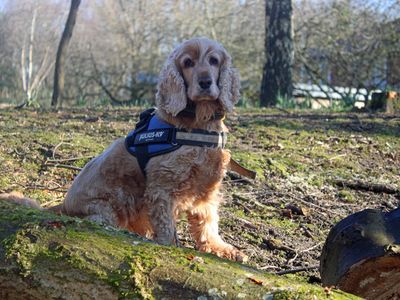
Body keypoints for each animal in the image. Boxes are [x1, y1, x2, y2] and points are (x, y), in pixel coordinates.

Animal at [1, 37, 247, 262]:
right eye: (188, 62)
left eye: (214, 60)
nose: (205, 82)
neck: (198, 124)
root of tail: (63, 205)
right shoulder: (163, 189)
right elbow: (166, 226)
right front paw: (171, 246)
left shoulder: (206, 190)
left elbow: (208, 224)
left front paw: (221, 248)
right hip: (110, 205)